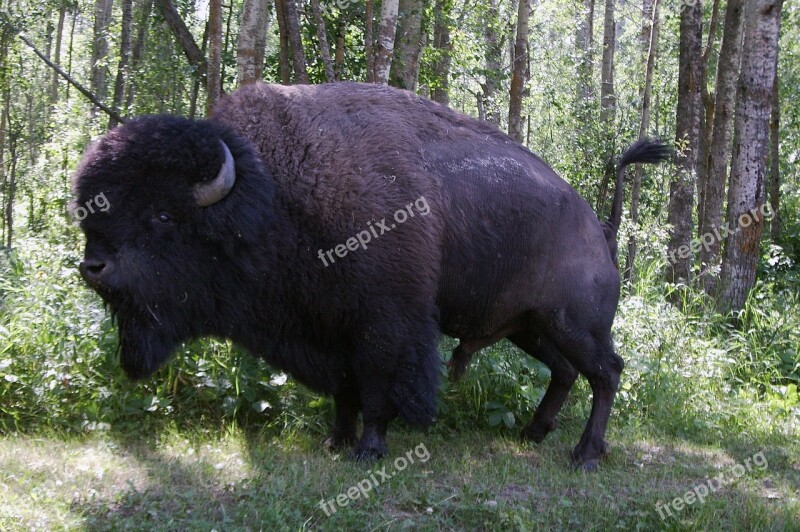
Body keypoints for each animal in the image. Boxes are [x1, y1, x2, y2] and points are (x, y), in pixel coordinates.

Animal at [75, 82, 668, 470]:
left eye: (163, 215)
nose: (93, 266)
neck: (276, 195)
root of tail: (598, 225)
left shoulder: (385, 324)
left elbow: (379, 388)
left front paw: (369, 450)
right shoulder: (331, 329)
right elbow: (345, 391)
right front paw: (335, 442)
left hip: (573, 324)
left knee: (606, 372)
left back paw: (584, 455)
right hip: (530, 326)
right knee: (566, 372)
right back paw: (532, 433)